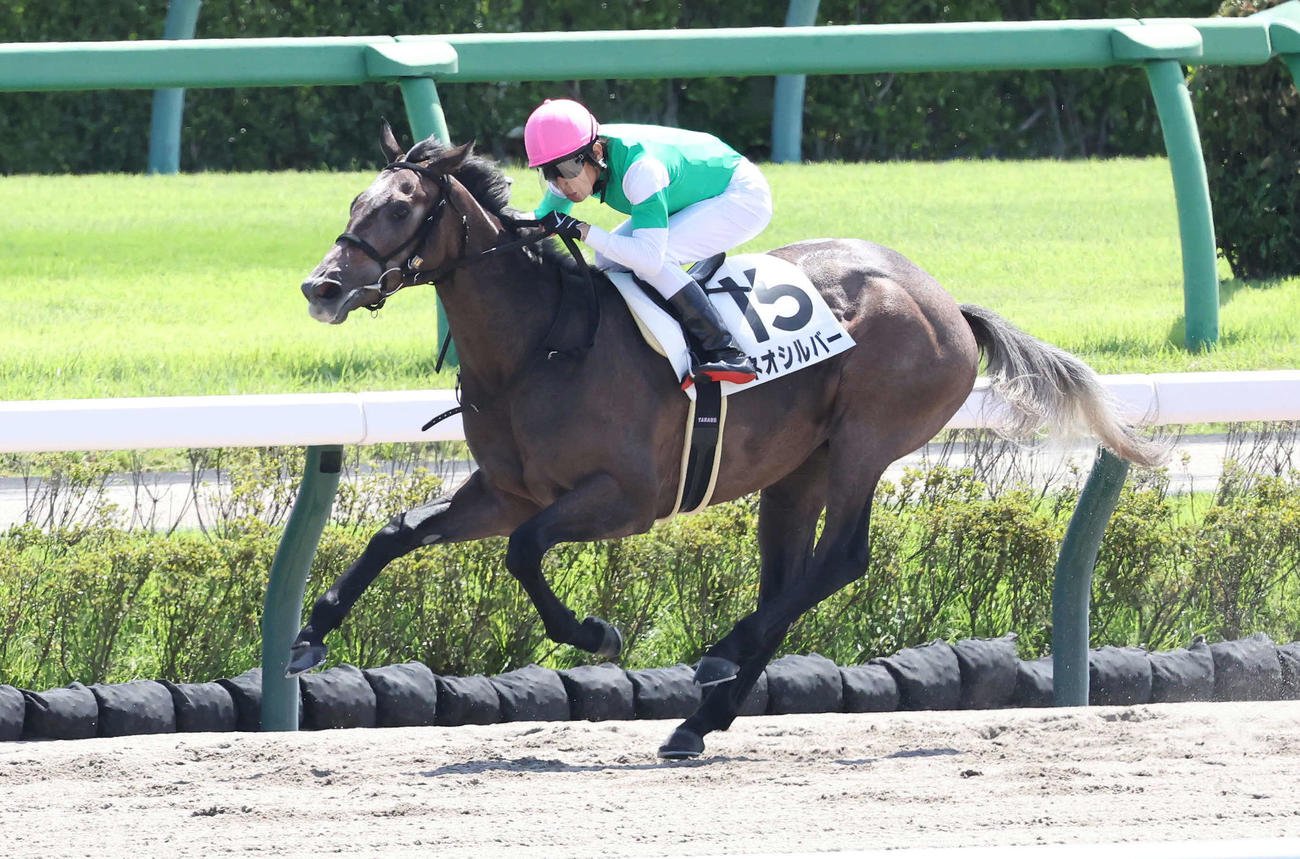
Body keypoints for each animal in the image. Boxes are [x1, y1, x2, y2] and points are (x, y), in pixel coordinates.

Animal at [293, 123, 1162, 758]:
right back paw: (700, 719)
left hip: (866, 440)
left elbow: (525, 552)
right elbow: (395, 531)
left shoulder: (626, 497)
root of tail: (946, 302)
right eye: (355, 198)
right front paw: (307, 637)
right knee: (791, 573)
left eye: (400, 207)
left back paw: (716, 657)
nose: (320, 287)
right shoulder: (506, 490)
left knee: (841, 560)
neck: (539, 344)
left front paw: (596, 632)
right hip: (796, 470)